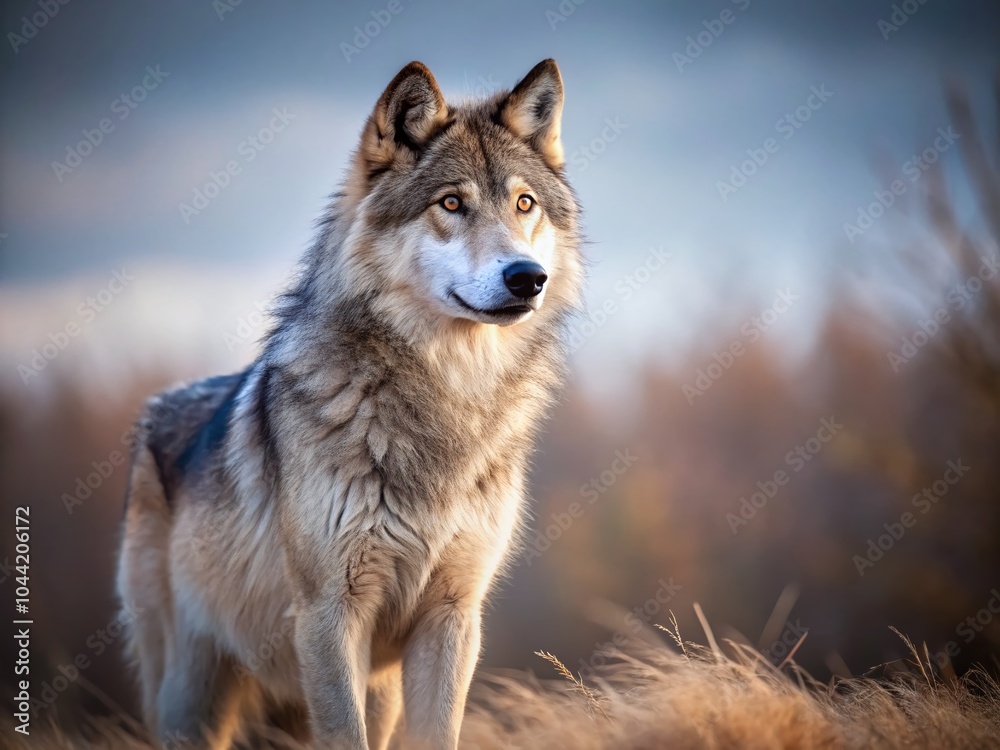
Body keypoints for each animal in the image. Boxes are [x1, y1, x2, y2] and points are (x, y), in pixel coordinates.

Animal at [116, 59, 583, 749]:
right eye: (451, 203)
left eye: (524, 204)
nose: (528, 277)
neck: (446, 398)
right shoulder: (329, 615)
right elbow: (343, 734)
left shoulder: (453, 617)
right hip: (189, 695)